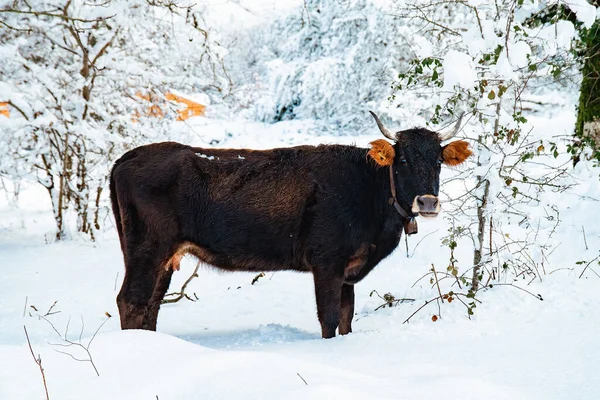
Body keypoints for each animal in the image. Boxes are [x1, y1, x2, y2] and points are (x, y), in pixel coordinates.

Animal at [110, 111, 472, 338]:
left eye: (438, 161)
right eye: (404, 159)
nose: (427, 202)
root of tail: (128, 157)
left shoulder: (349, 271)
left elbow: (346, 318)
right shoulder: (326, 262)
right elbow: (328, 318)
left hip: (161, 256)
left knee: (151, 304)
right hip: (148, 248)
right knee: (132, 301)